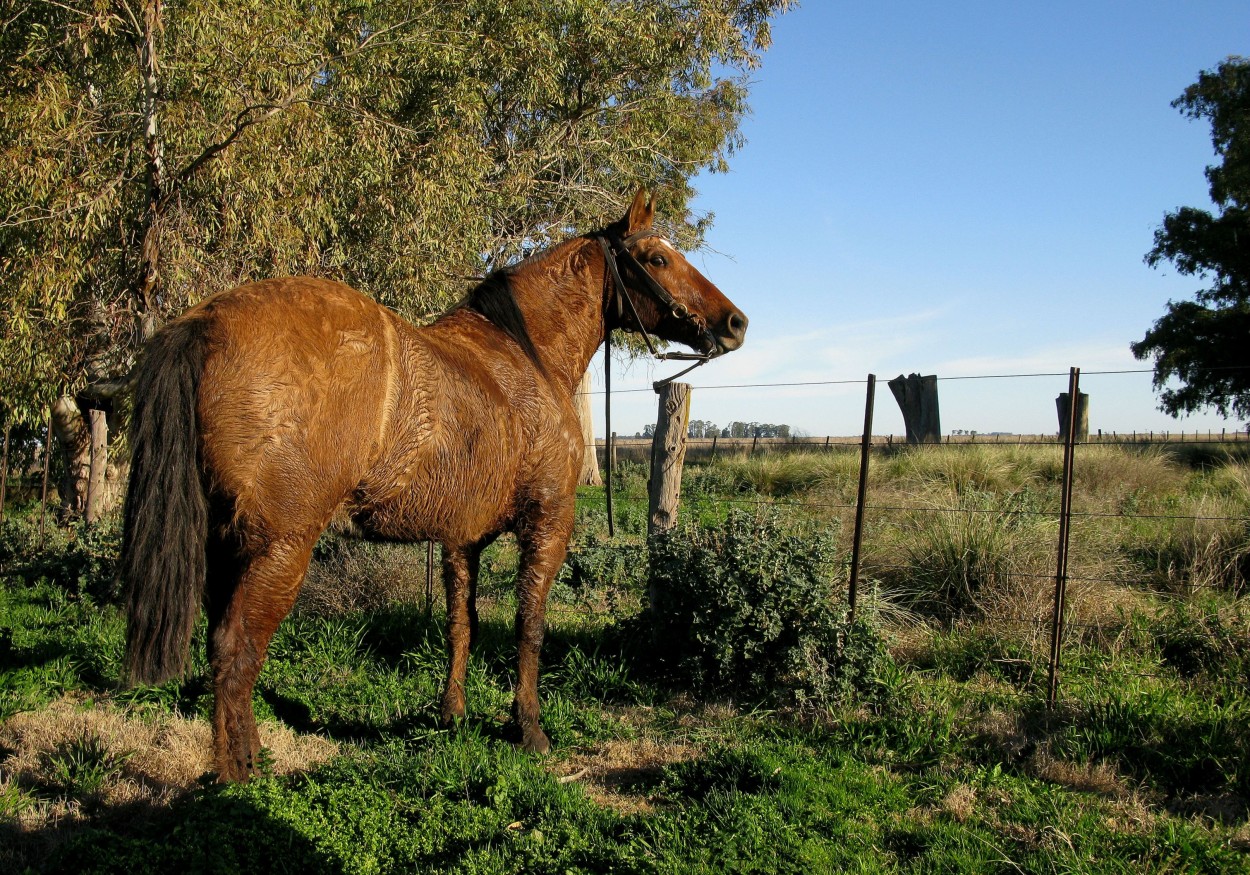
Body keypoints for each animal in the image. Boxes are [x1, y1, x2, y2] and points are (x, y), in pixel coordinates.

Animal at [119, 191, 740, 780]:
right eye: (657, 258)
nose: (736, 323)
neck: (526, 356)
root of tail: (205, 321)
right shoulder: (548, 522)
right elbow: (529, 626)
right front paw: (528, 728)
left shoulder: (462, 540)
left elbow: (461, 626)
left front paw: (452, 714)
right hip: (279, 548)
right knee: (237, 652)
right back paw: (239, 776)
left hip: (227, 545)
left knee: (221, 648)